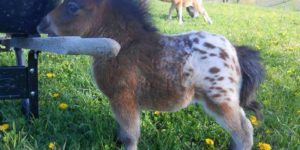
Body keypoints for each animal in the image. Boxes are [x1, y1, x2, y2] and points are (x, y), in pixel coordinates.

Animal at [36, 0, 264, 149]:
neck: (123, 46)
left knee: (243, 132)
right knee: (243, 128)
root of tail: (234, 51)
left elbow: (130, 136)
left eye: (73, 6)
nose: (41, 24)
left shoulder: (124, 98)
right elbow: (123, 132)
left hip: (220, 100)